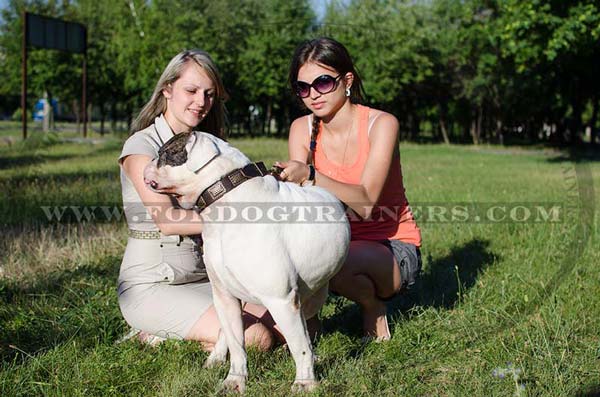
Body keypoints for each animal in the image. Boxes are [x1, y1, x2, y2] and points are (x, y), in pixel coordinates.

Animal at [145, 131, 350, 392]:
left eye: (165, 153)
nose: (148, 164)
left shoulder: (282, 301)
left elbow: (300, 346)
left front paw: (305, 382)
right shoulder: (224, 297)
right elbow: (236, 344)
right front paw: (235, 379)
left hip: (312, 295)